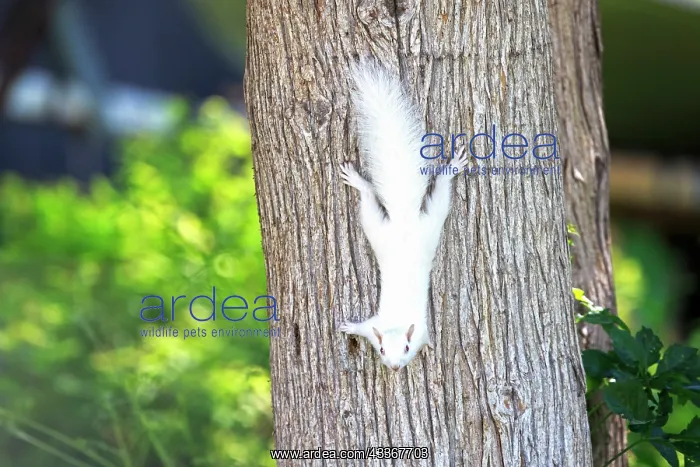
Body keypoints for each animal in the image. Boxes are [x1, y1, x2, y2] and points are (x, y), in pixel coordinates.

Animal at [339, 61, 467, 371]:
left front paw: (430, 347)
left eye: (408, 347)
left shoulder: (419, 331)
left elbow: (426, 338)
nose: (396, 367)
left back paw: (452, 168)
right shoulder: (374, 326)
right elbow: (363, 327)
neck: (397, 325)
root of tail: (405, 221)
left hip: (426, 225)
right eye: (382, 349)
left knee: (440, 194)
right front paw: (349, 327)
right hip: (384, 230)